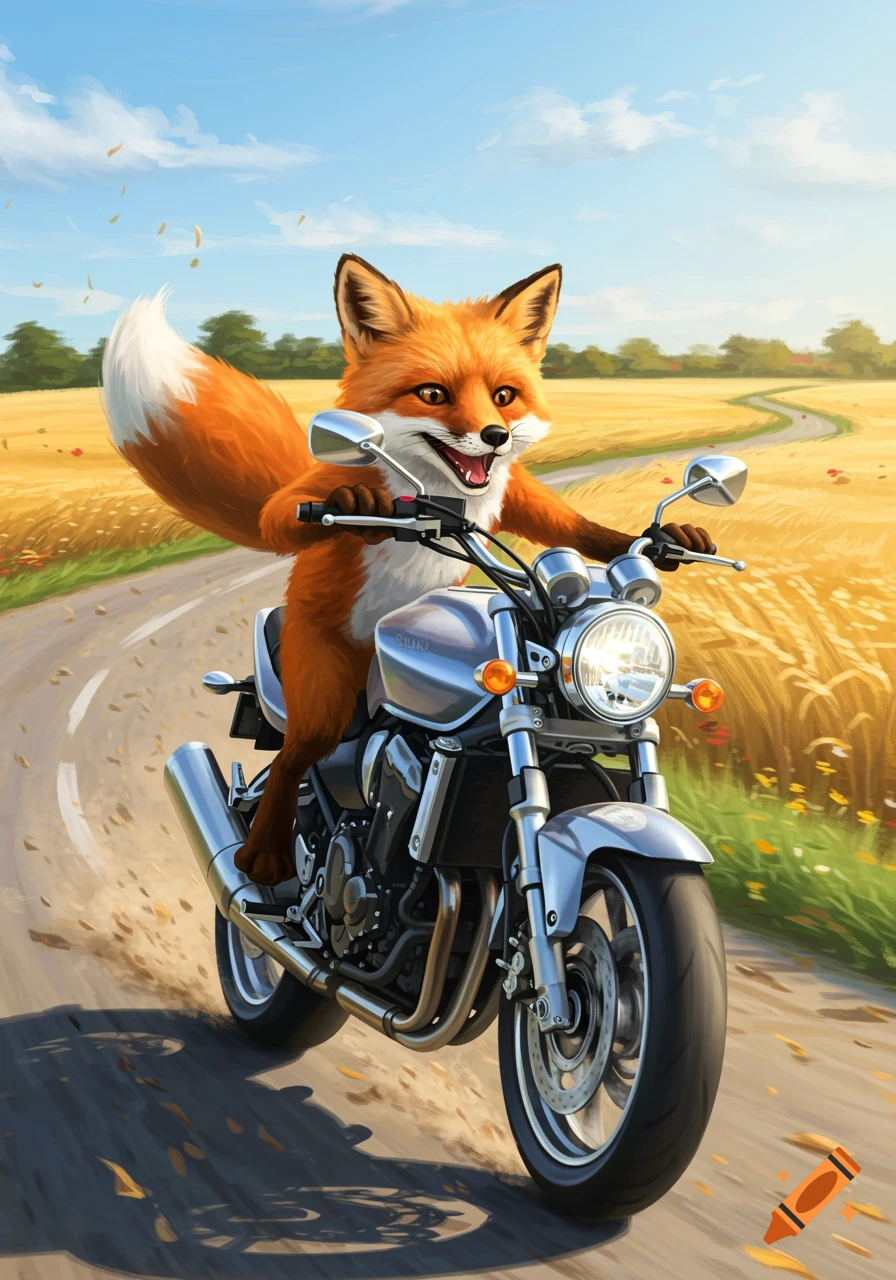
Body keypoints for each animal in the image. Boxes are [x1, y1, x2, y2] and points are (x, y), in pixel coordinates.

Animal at [102, 255, 714, 886]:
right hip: (312, 681)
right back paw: (260, 861)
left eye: (505, 396)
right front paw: (354, 502)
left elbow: (556, 516)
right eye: (432, 394)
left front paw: (666, 538)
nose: (494, 437)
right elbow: (281, 514)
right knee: (290, 762)